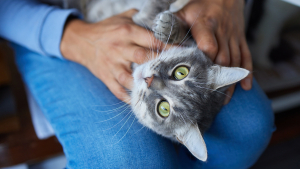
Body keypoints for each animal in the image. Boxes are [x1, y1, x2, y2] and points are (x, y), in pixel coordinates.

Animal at [71, 0, 250, 162]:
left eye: (163, 108)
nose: (149, 80)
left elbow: (149, 11)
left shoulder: (139, 19)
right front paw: (169, 27)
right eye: (181, 72)